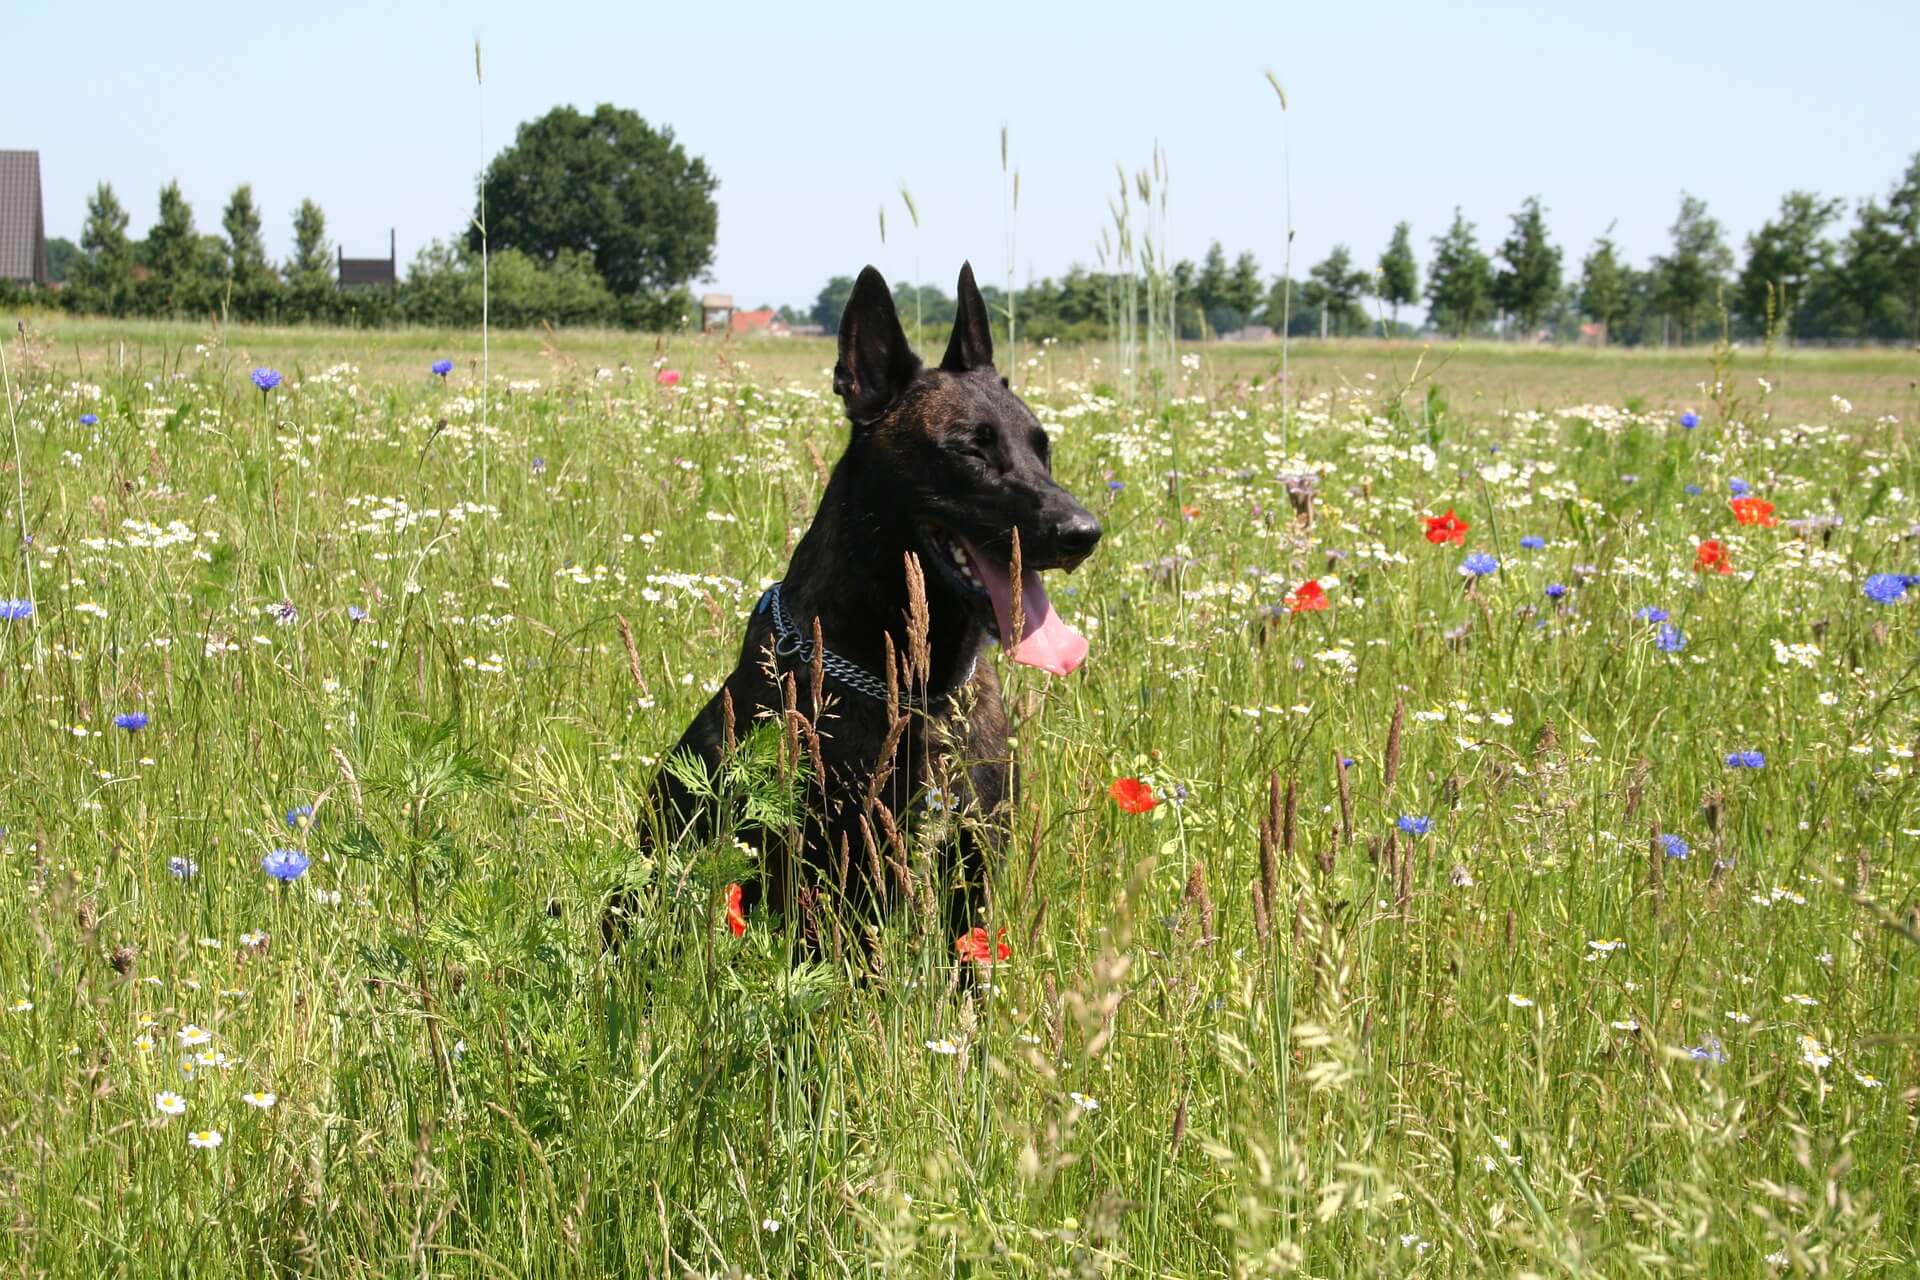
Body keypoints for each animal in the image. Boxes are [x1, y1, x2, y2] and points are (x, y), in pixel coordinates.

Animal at [606, 262, 1105, 959]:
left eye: (1043, 447)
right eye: (972, 451)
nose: (1083, 533)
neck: (918, 693)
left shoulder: (971, 880)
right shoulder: (833, 884)